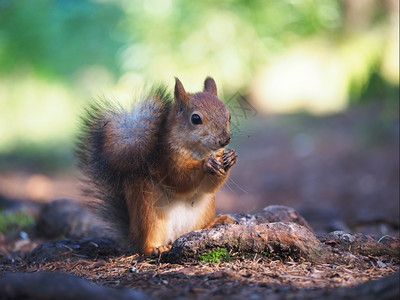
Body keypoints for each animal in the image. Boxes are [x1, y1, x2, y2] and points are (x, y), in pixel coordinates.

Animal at [76, 77, 236, 255]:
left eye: (228, 115)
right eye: (196, 119)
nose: (225, 139)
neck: (199, 151)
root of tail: (132, 236)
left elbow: (208, 187)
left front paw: (230, 158)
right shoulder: (166, 160)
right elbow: (180, 181)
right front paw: (206, 164)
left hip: (205, 209)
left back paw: (216, 222)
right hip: (148, 212)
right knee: (147, 242)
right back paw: (156, 248)